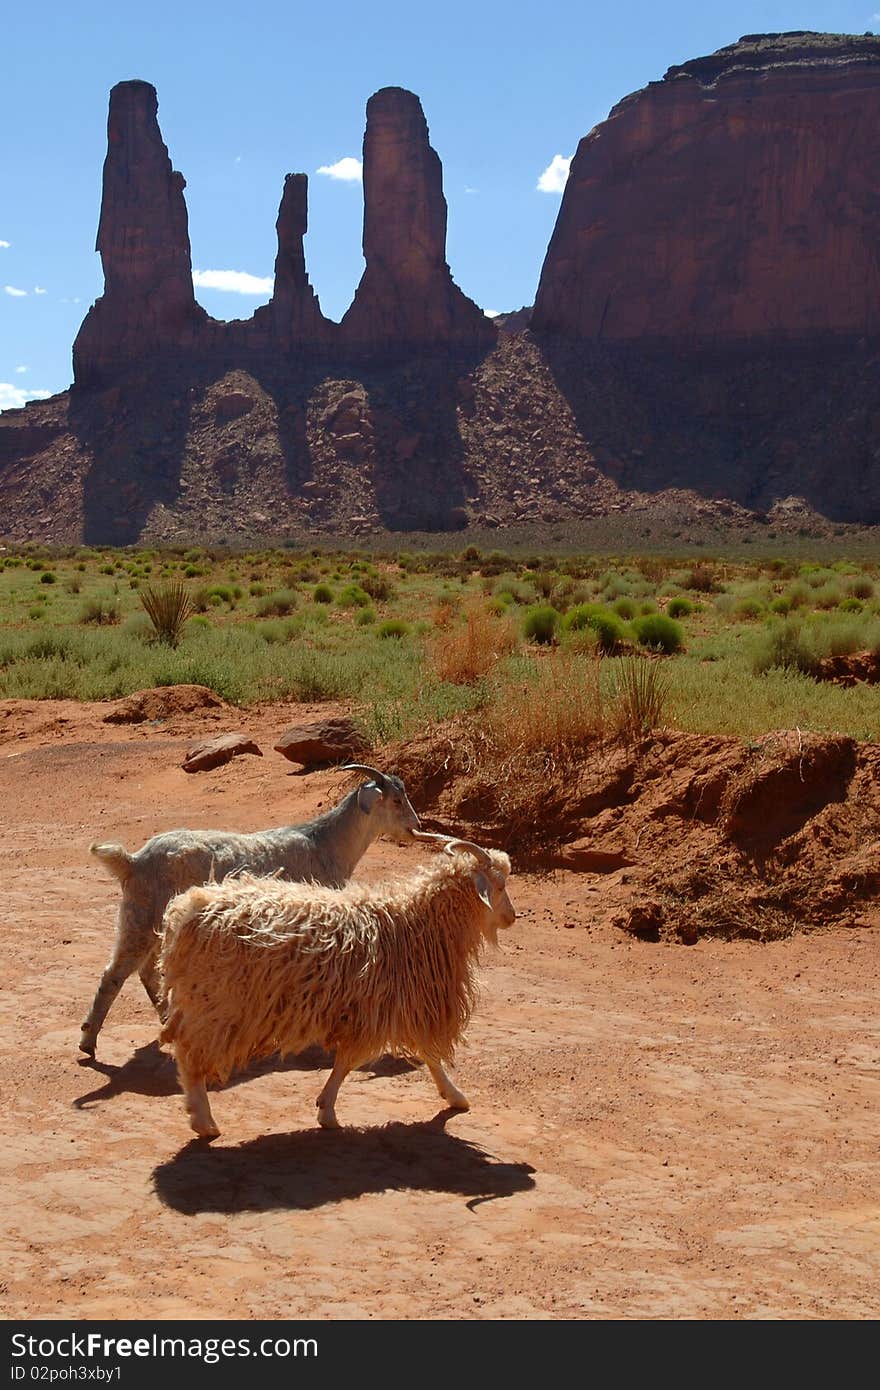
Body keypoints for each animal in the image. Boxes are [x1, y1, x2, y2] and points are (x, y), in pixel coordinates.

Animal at [79, 767, 419, 1056]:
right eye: (396, 799)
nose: (416, 827)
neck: (325, 844)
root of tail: (133, 861)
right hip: (141, 916)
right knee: (115, 974)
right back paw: (88, 1042)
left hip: (151, 921)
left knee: (147, 970)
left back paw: (165, 1021)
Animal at [157, 828, 514, 1134]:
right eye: (498, 886)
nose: (513, 917)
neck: (415, 923)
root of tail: (184, 913)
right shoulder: (398, 1005)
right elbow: (392, 1058)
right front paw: (455, 1096)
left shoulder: (386, 1006)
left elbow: (372, 1059)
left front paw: (325, 1109)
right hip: (215, 1005)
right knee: (189, 1055)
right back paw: (203, 1121)